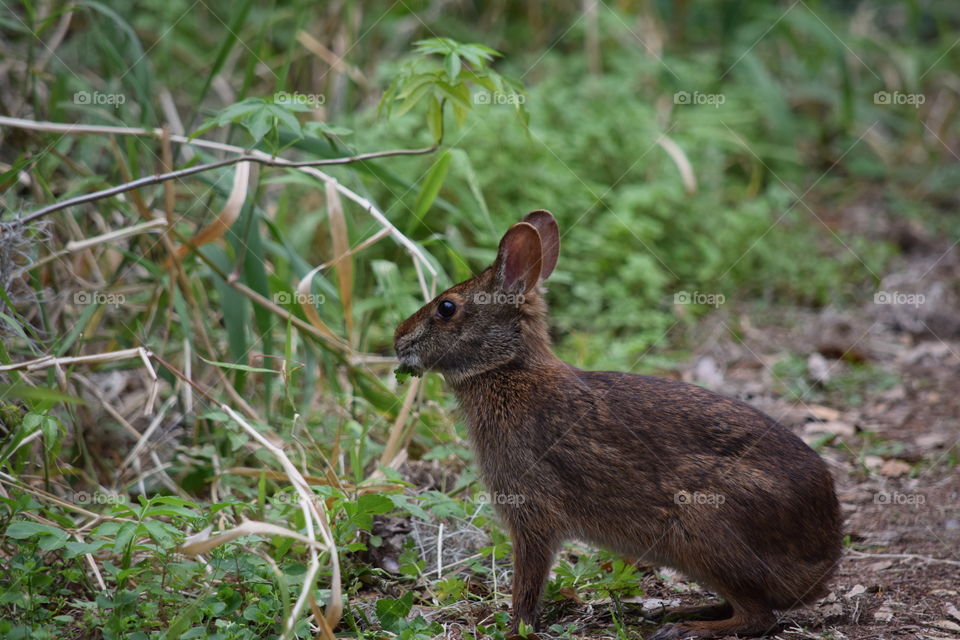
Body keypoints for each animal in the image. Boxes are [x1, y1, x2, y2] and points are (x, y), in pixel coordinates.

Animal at [390, 211, 840, 640]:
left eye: (446, 308)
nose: (398, 338)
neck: (507, 370)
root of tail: (823, 562)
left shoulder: (532, 513)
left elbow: (528, 583)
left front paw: (514, 629)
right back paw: (682, 612)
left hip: (707, 528)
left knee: (757, 616)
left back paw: (685, 627)